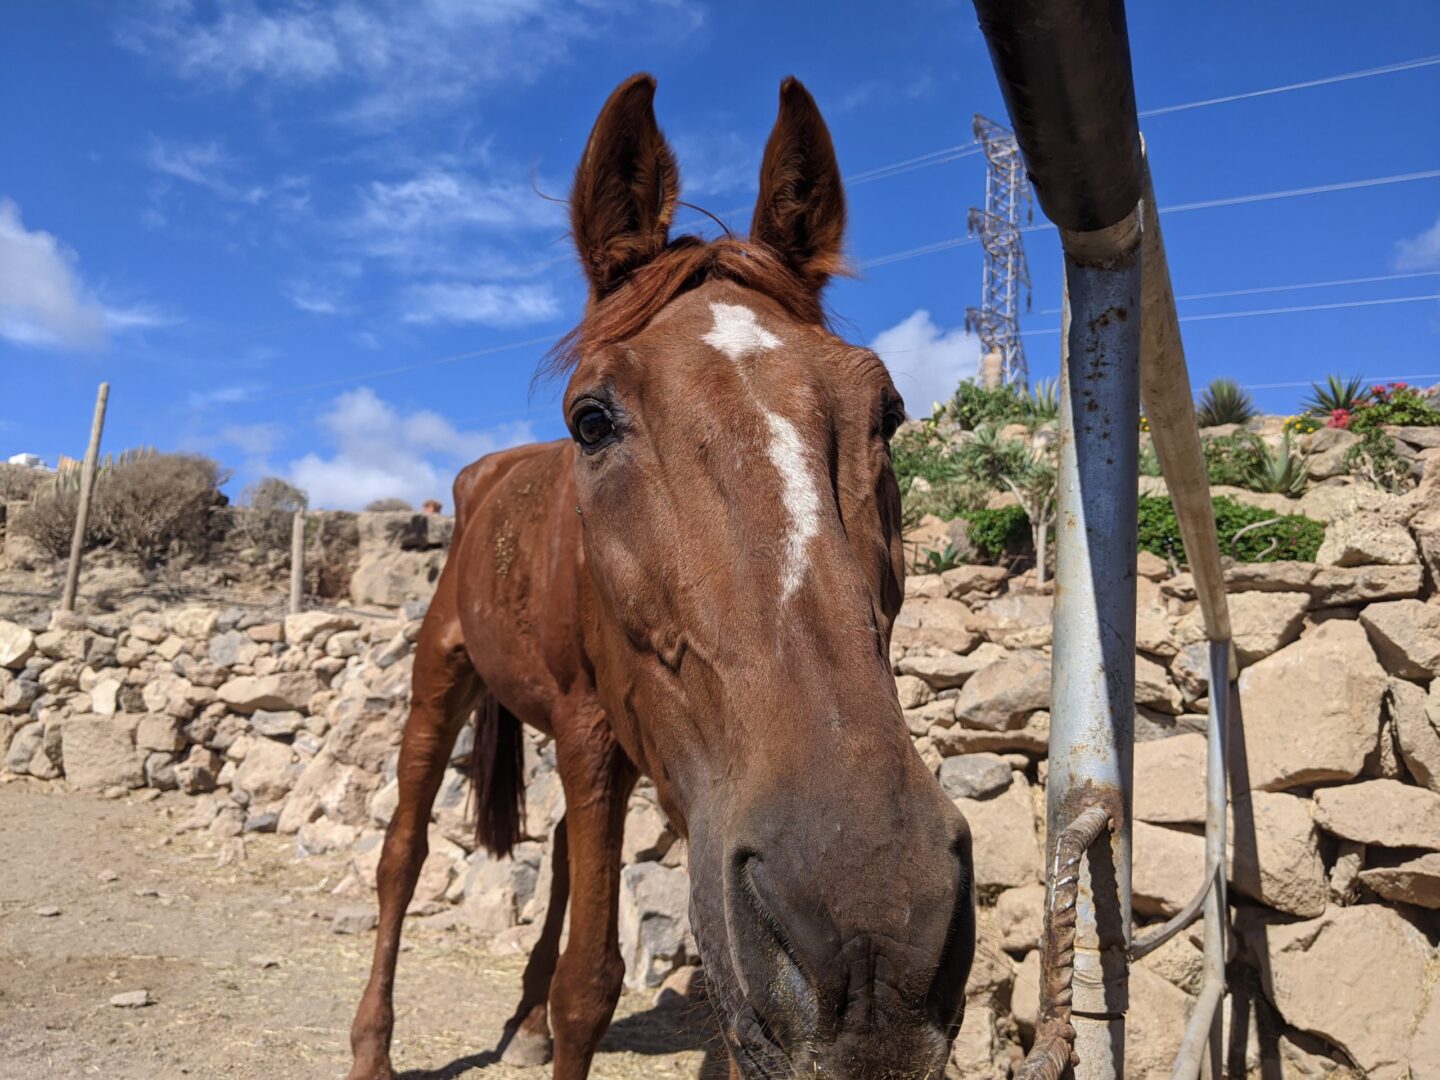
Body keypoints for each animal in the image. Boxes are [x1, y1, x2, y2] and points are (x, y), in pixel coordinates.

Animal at [346, 74, 975, 1080]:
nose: (875, 935)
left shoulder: (683, 789)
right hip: (443, 677)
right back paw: (373, 1046)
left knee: (563, 854)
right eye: (591, 419)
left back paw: (520, 1021)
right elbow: (591, 983)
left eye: (887, 410)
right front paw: (554, 1010)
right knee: (401, 856)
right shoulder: (593, 732)